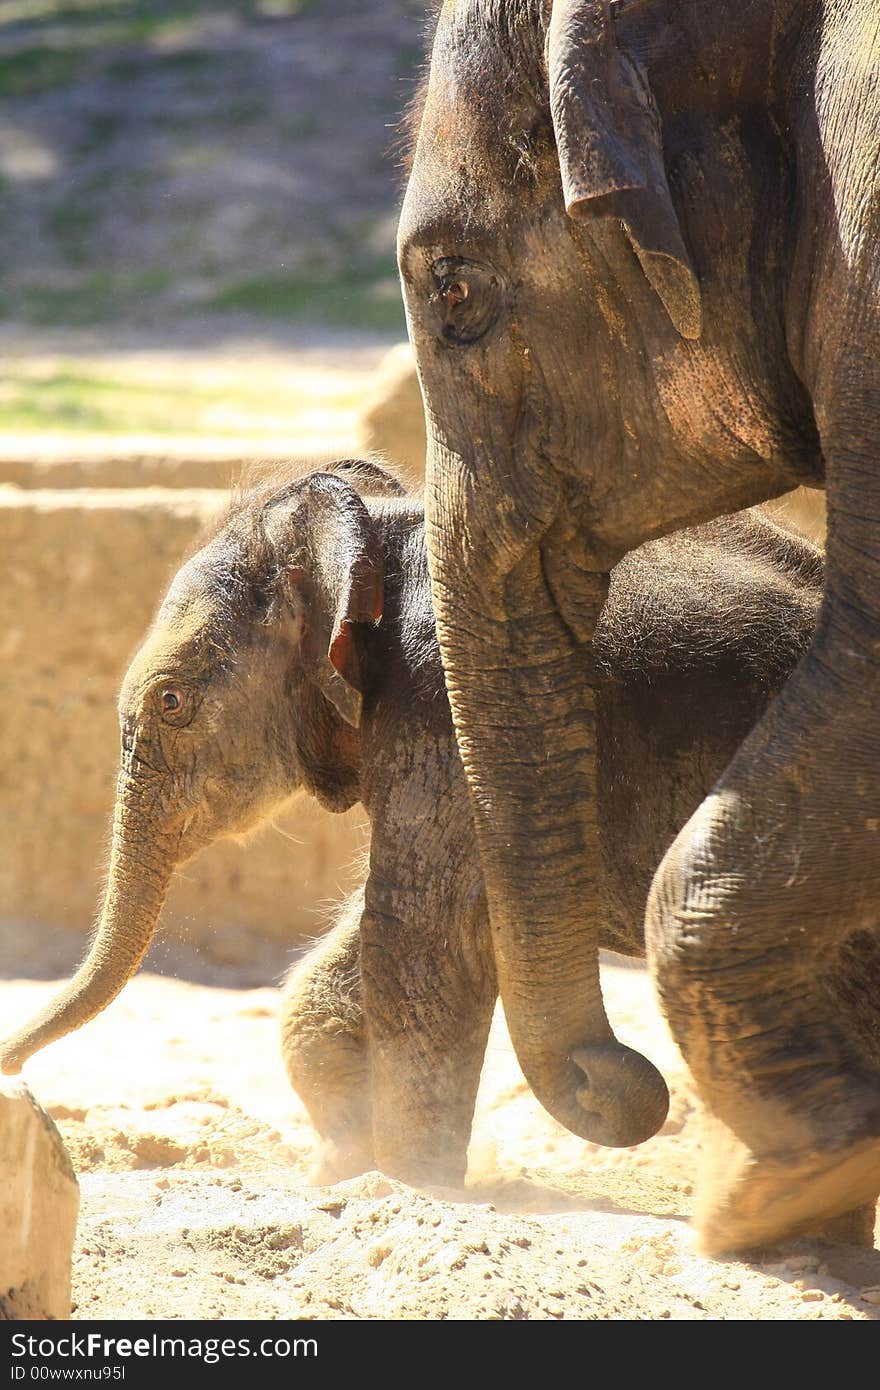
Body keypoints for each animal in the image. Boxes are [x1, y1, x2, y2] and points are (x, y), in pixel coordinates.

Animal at [1, 458, 817, 1195]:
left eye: (171, 703)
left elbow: (421, 926)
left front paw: (413, 1183)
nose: (13, 1068)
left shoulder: (448, 709)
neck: (379, 528)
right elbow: (374, 939)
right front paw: (341, 1171)